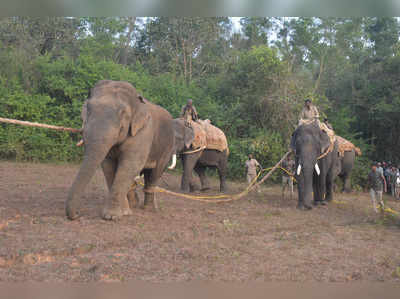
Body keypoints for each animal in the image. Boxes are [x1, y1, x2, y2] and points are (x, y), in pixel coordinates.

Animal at [65, 81, 175, 221]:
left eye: (122, 113)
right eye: (88, 109)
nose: (78, 214)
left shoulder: (143, 132)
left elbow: (130, 164)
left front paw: (112, 216)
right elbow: (108, 165)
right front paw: (125, 212)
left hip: (167, 147)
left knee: (154, 175)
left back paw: (149, 209)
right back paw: (134, 205)